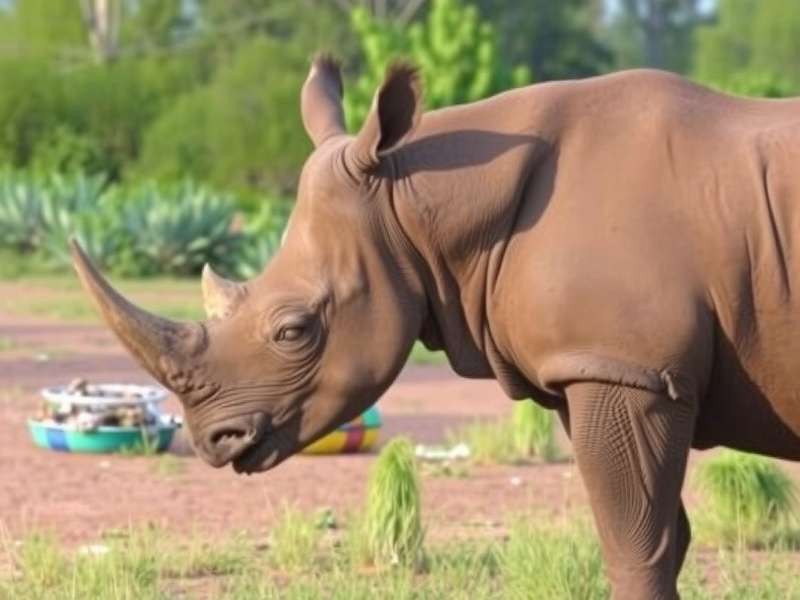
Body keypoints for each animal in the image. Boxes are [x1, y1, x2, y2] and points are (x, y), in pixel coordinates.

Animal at [71, 56, 800, 599]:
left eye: (293, 331)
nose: (211, 442)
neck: (415, 200)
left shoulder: (628, 369)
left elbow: (635, 550)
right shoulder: (598, 367)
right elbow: (661, 540)